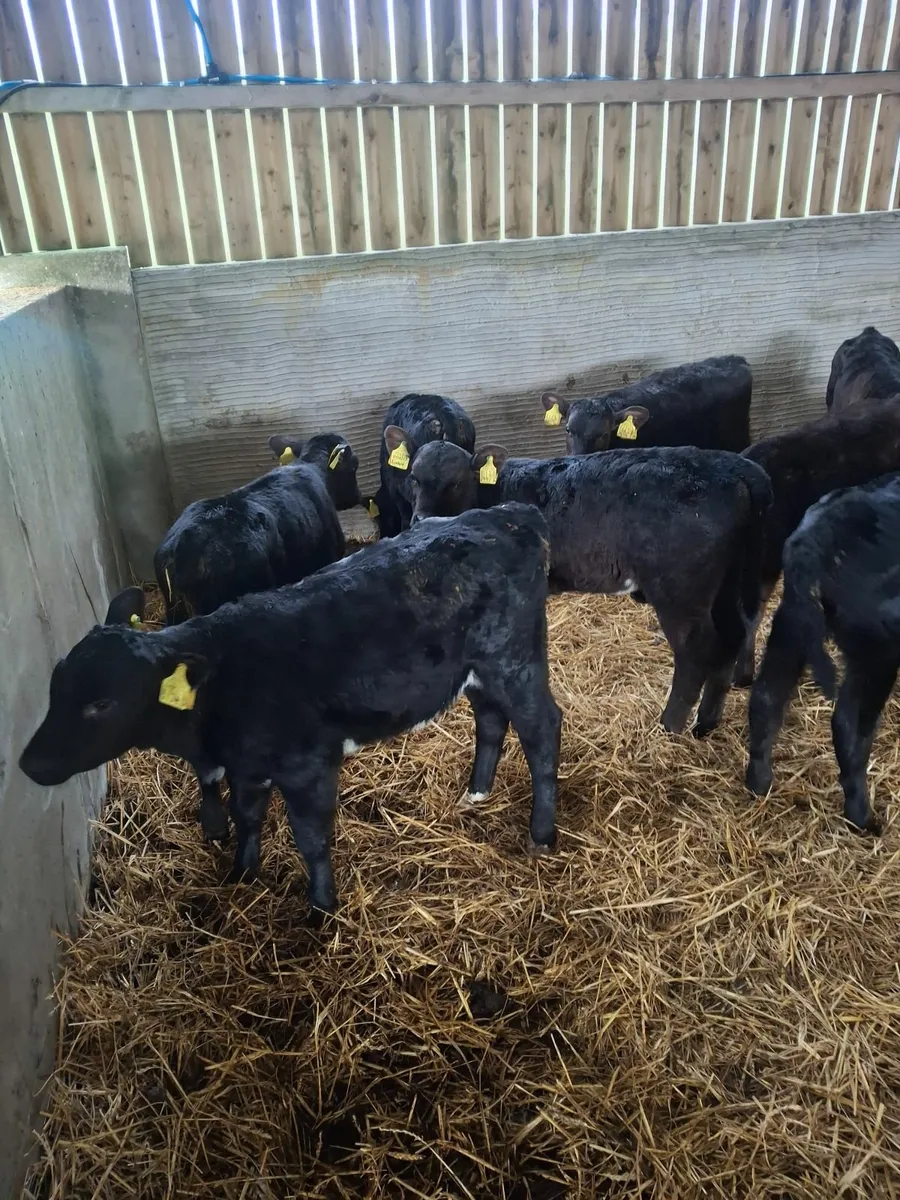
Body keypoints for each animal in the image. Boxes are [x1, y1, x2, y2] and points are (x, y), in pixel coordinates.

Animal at [20, 505, 561, 916]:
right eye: (54, 688)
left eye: (101, 702)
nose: (29, 762)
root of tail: (507, 513)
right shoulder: (247, 767)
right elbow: (246, 816)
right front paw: (242, 872)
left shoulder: (308, 765)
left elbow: (310, 837)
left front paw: (321, 907)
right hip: (476, 670)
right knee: (491, 718)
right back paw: (476, 792)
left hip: (514, 658)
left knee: (542, 730)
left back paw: (541, 833)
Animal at [401, 436, 772, 738]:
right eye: (414, 479)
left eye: (455, 482)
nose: (422, 518)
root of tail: (733, 467)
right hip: (728, 582)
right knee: (732, 637)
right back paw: (705, 723)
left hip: (679, 590)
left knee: (695, 652)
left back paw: (670, 726)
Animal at [745, 473, 900, 834]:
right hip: (877, 651)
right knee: (850, 726)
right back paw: (864, 819)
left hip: (793, 620)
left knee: (767, 694)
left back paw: (759, 784)